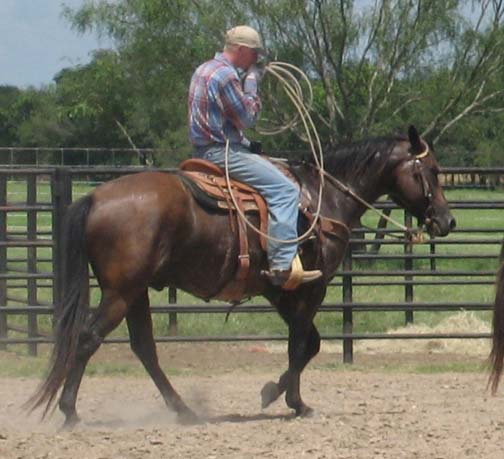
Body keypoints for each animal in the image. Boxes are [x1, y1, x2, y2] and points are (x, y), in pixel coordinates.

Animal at [29, 125, 456, 428]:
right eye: (432, 171)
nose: (448, 221)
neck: (322, 199)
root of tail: (95, 197)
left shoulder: (281, 290)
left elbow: (310, 344)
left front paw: (276, 394)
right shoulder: (312, 287)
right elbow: (300, 345)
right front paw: (292, 401)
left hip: (135, 292)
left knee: (144, 348)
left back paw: (183, 410)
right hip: (121, 291)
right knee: (89, 337)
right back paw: (70, 412)